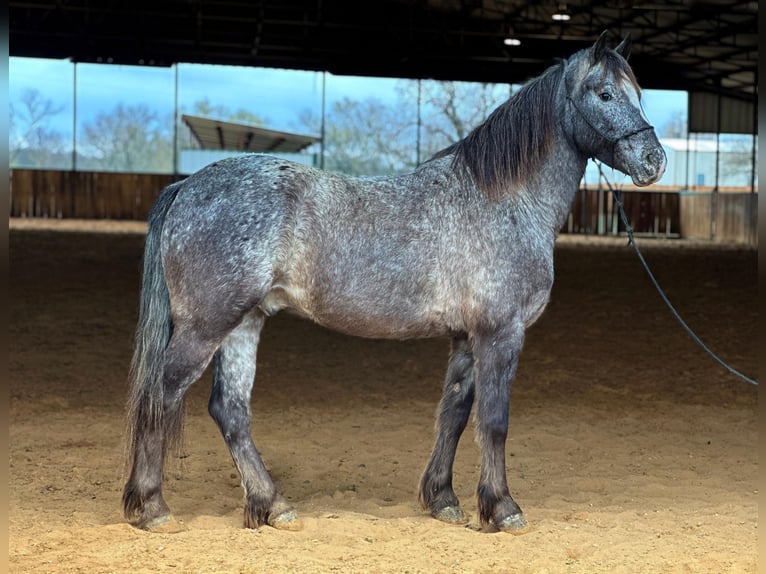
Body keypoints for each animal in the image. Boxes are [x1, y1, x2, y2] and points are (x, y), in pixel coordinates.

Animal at [121, 31, 664, 536]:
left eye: (639, 92)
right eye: (605, 94)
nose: (654, 160)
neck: (501, 200)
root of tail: (186, 186)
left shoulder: (466, 337)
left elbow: (454, 413)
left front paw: (443, 500)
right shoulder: (500, 333)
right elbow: (494, 421)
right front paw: (503, 508)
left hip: (244, 323)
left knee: (229, 410)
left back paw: (273, 506)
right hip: (205, 327)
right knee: (160, 394)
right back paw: (153, 508)